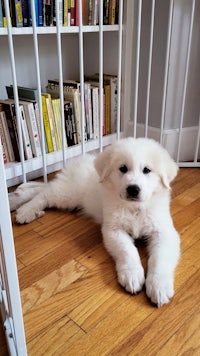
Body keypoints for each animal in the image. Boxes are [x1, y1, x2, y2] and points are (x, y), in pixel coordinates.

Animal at [9, 138, 180, 308]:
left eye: (147, 170)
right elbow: (127, 251)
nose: (133, 189)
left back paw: (16, 199)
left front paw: (159, 286)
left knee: (43, 187)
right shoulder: (113, 230)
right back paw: (26, 210)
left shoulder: (163, 232)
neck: (134, 208)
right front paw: (132, 275)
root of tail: (77, 160)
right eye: (123, 168)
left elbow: (160, 258)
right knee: (44, 195)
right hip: (67, 195)